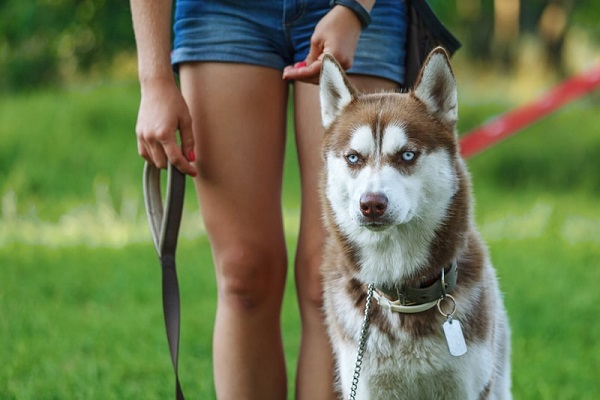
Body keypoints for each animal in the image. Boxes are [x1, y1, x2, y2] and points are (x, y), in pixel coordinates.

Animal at [318, 47, 510, 400]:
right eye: (353, 158)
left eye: (407, 155)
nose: (372, 204)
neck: (401, 294)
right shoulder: (366, 384)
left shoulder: (468, 386)